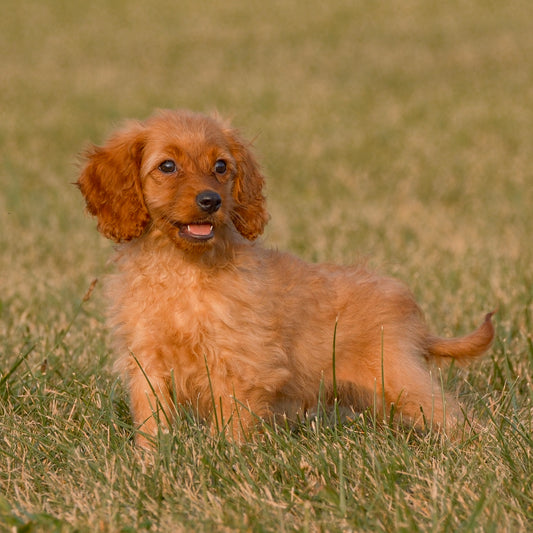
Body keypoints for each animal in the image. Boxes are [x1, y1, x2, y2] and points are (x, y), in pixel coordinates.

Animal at [77, 109, 492, 444]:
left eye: (221, 166)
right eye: (167, 167)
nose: (211, 201)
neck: (183, 269)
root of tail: (410, 316)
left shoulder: (240, 364)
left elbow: (232, 423)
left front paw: (225, 460)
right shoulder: (148, 361)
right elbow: (152, 420)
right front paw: (150, 461)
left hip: (398, 380)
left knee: (454, 415)